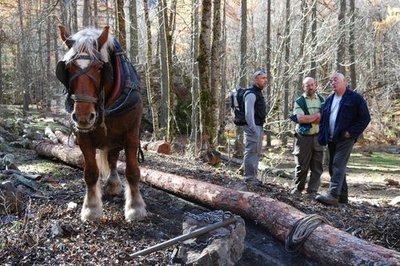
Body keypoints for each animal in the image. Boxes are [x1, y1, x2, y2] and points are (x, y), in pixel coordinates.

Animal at [54, 26, 145, 222]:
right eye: (68, 67)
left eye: (99, 67)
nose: (83, 116)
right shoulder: (83, 138)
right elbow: (90, 173)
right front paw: (91, 208)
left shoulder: (131, 136)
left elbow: (132, 171)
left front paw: (135, 207)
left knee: (113, 159)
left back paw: (113, 184)